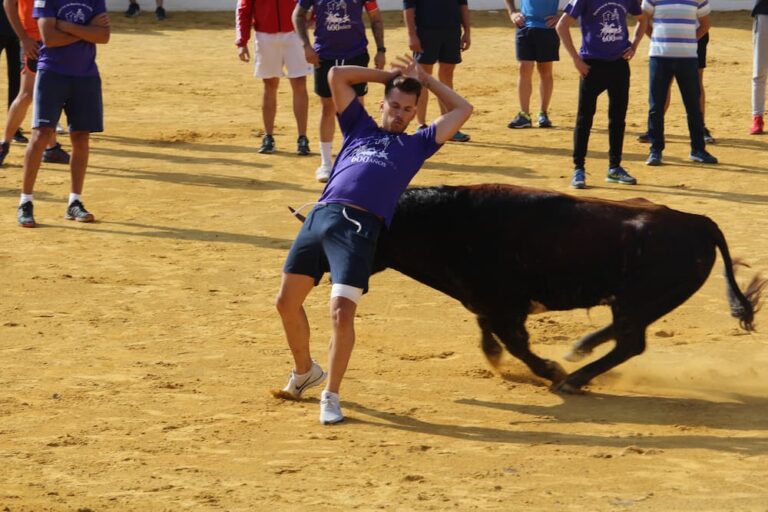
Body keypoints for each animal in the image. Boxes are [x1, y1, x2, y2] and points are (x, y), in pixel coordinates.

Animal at [292, 184, 760, 392]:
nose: (319, 270)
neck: (443, 223)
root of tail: (697, 221)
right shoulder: (487, 303)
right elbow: (490, 334)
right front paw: (499, 359)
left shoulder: (502, 305)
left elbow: (515, 342)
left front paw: (548, 370)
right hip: (637, 302)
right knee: (625, 336)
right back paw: (580, 350)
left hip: (641, 298)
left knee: (631, 342)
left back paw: (571, 377)